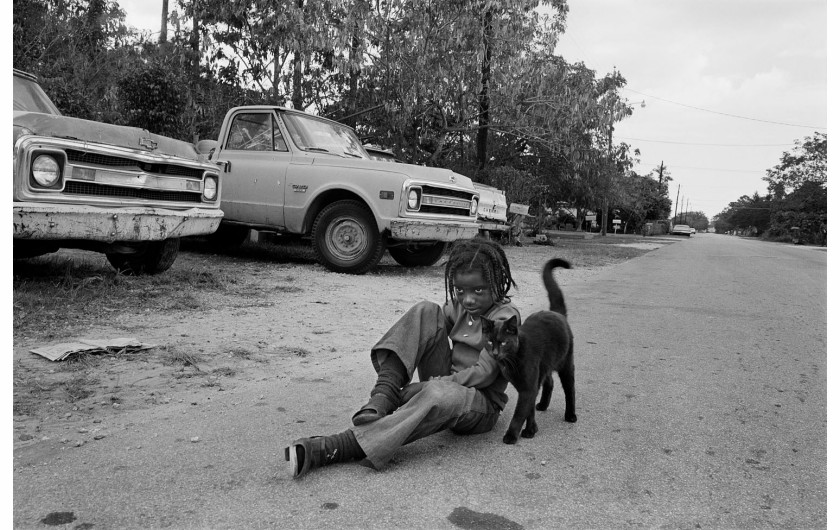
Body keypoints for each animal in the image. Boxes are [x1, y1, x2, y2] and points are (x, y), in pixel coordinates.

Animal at [482, 256, 576, 442]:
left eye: (503, 343)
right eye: (489, 342)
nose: (495, 353)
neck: (512, 360)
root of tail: (557, 313)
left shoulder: (527, 387)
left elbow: (520, 413)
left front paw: (512, 435)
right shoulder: (529, 385)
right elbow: (529, 409)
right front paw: (532, 429)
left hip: (566, 363)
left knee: (570, 389)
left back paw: (571, 415)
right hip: (545, 365)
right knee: (549, 382)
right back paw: (543, 404)